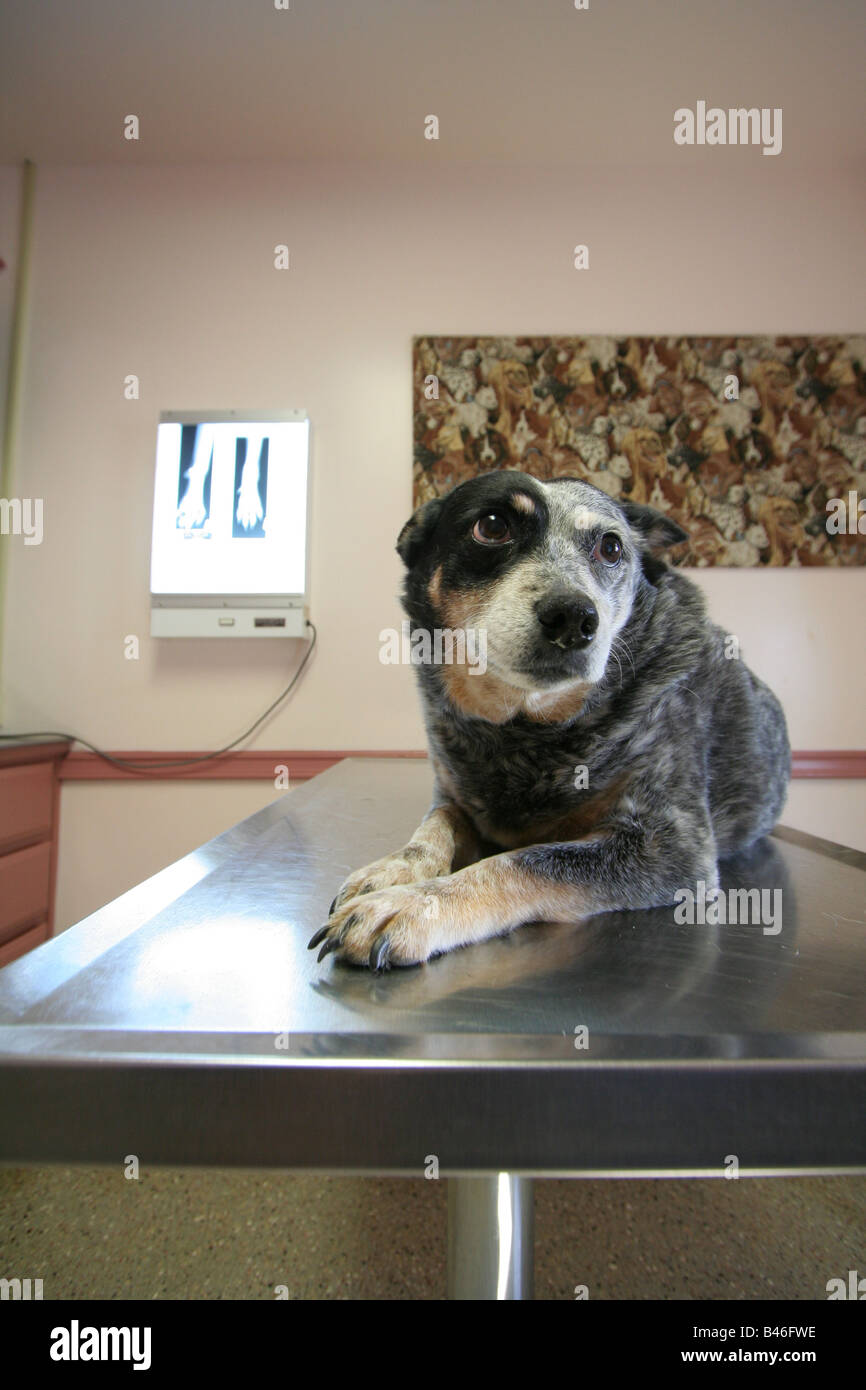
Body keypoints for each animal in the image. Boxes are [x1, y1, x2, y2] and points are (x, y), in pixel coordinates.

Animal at [309, 467, 795, 967]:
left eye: (611, 547)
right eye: (492, 525)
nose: (574, 617)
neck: (525, 726)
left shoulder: (671, 847)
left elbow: (525, 860)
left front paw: (413, 903)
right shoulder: (453, 797)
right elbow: (431, 830)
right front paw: (394, 870)